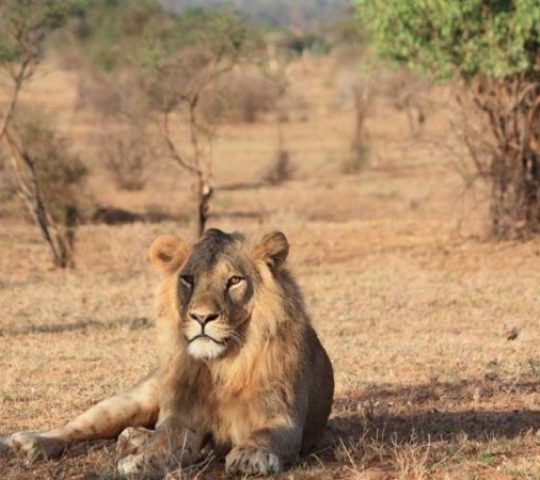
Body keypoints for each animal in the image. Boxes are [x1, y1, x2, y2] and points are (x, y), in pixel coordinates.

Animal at [1, 229, 334, 476]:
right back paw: (30, 442)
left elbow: (265, 435)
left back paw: (132, 438)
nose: (202, 317)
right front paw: (140, 461)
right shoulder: (182, 418)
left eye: (234, 280)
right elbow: (163, 441)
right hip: (130, 401)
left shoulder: (284, 420)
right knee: (76, 428)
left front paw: (251, 455)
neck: (221, 366)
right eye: (188, 279)